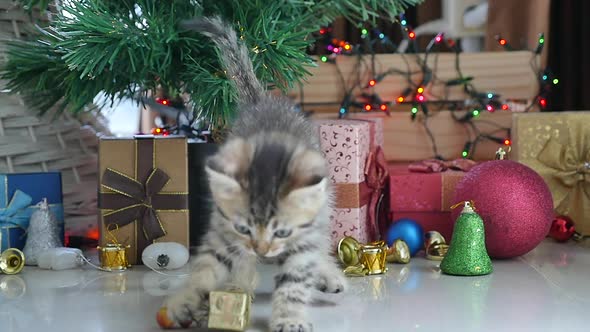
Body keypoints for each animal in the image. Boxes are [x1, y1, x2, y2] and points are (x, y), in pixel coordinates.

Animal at [162, 16, 346, 330]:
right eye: (243, 228)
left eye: (281, 231)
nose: (261, 249)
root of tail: (262, 101)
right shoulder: (223, 232)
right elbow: (206, 268)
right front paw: (186, 301)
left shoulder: (301, 238)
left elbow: (295, 279)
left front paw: (290, 317)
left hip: (323, 206)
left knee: (318, 243)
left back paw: (325, 273)